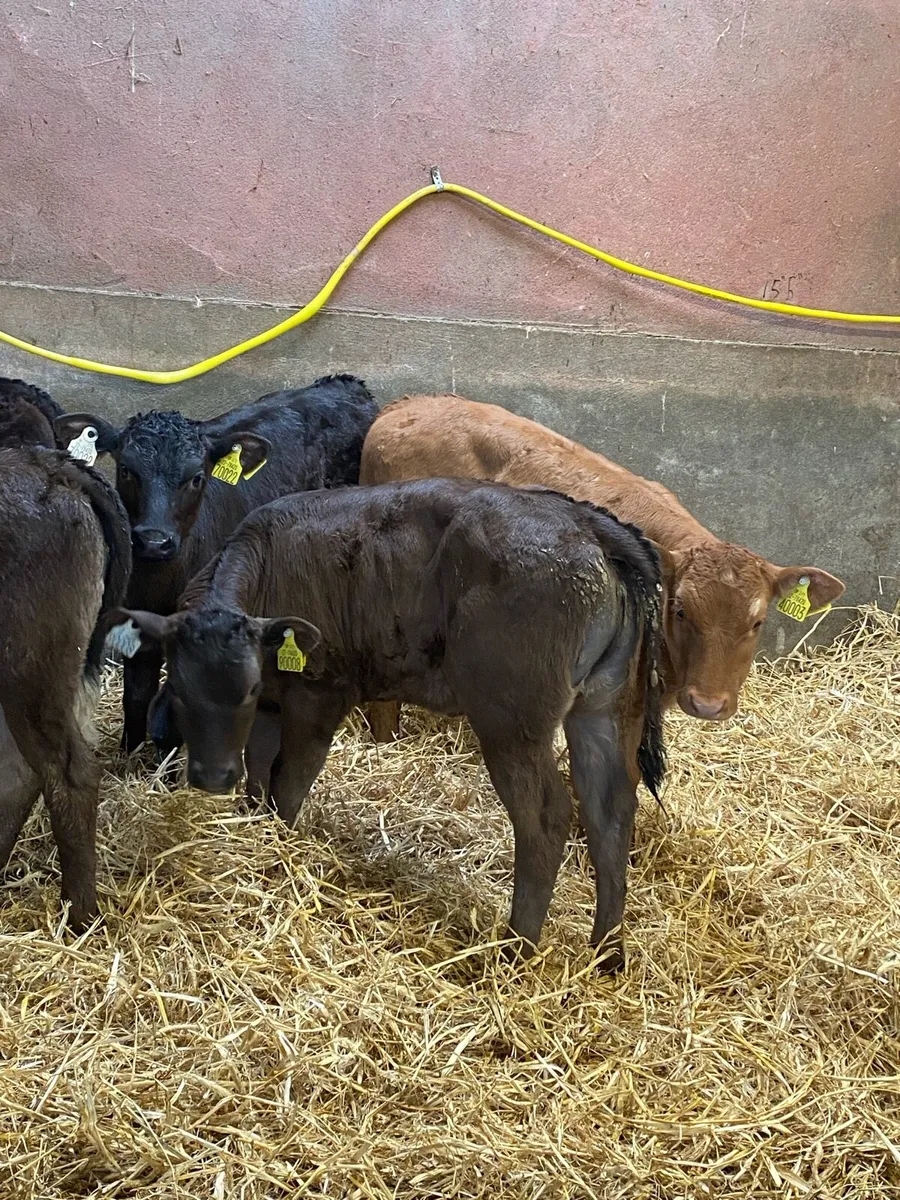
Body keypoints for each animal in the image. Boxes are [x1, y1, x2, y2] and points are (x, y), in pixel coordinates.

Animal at [55, 374, 378, 753]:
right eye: (126, 469)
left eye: (197, 477)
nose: (154, 540)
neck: (159, 583)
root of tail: (344, 383)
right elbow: (136, 693)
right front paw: (129, 752)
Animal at [111, 477, 666, 966]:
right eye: (181, 690)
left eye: (243, 689)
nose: (209, 778)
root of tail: (586, 521)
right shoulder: (273, 704)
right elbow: (259, 767)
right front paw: (253, 825)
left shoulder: (318, 694)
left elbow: (289, 780)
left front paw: (282, 851)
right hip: (602, 707)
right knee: (610, 810)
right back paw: (607, 953)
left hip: (512, 719)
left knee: (545, 817)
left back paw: (515, 949)